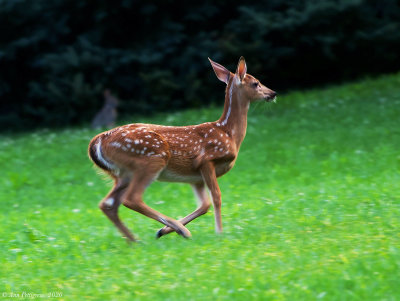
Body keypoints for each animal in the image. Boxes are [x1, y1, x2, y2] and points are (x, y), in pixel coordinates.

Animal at [87, 56, 276, 240]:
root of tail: (98, 141)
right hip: (150, 160)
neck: (228, 133)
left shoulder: (195, 178)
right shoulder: (206, 161)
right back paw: (180, 230)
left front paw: (163, 231)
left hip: (123, 173)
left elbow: (204, 205)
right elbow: (216, 197)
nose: (273, 93)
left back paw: (136, 240)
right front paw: (219, 233)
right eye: (256, 83)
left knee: (108, 204)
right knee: (131, 199)